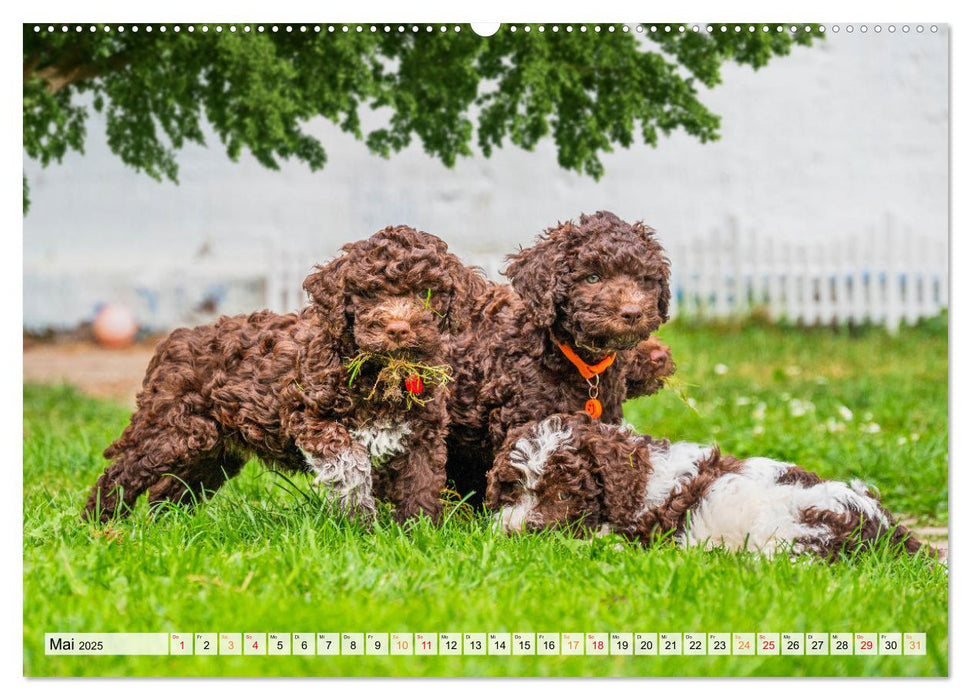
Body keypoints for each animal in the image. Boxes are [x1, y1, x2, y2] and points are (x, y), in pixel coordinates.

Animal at [84, 227, 482, 524]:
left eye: (426, 292)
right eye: (370, 292)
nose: (398, 329)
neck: (382, 372)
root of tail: (174, 339)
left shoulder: (423, 435)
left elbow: (422, 486)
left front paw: (419, 535)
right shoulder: (308, 416)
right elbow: (351, 462)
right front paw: (361, 522)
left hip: (213, 449)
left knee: (172, 490)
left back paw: (168, 529)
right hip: (171, 430)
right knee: (123, 474)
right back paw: (98, 525)